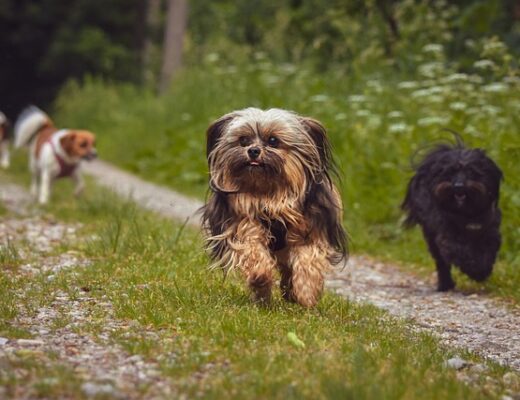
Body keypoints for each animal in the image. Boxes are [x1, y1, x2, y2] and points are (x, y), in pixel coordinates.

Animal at [201, 106, 348, 306]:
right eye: (243, 140)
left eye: (273, 141)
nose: (253, 150)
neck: (269, 194)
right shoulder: (243, 223)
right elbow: (252, 249)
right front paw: (260, 275)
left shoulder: (311, 228)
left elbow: (308, 259)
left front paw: (306, 293)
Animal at [402, 138, 504, 290]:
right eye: (450, 172)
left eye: (471, 171)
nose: (458, 186)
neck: (467, 213)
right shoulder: (447, 236)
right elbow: (461, 251)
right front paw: (475, 270)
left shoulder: (490, 231)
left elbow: (487, 250)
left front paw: (482, 270)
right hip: (431, 236)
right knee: (441, 262)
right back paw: (445, 284)